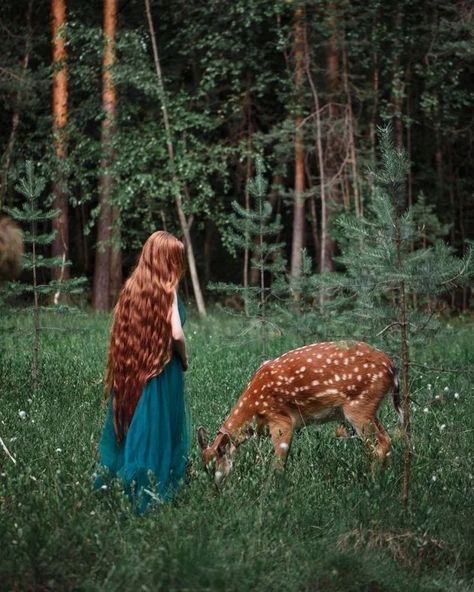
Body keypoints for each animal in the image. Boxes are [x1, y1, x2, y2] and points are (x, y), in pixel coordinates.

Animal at [196, 340, 400, 484]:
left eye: (214, 466)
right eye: (204, 467)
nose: (215, 489)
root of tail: (391, 366)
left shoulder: (281, 421)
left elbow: (279, 463)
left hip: (359, 407)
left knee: (378, 446)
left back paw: (373, 483)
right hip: (370, 409)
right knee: (387, 440)